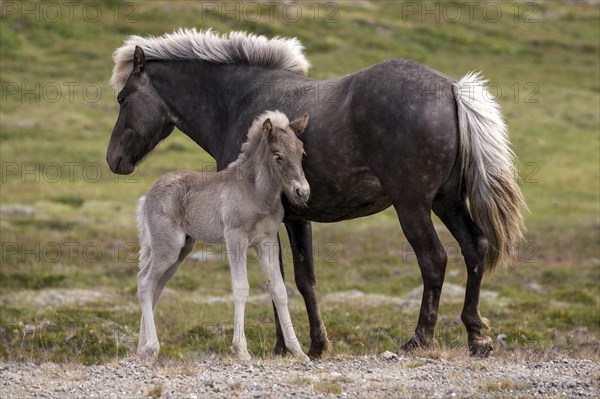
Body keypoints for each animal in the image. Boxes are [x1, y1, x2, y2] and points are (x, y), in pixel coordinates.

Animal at [108, 28, 524, 360]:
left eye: (123, 97)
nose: (114, 159)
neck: (237, 100)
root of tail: (451, 89)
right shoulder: (296, 218)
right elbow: (302, 279)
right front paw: (314, 345)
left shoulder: (269, 225)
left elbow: (278, 280)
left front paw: (287, 346)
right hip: (447, 202)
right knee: (475, 247)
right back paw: (476, 336)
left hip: (413, 206)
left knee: (434, 260)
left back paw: (419, 340)